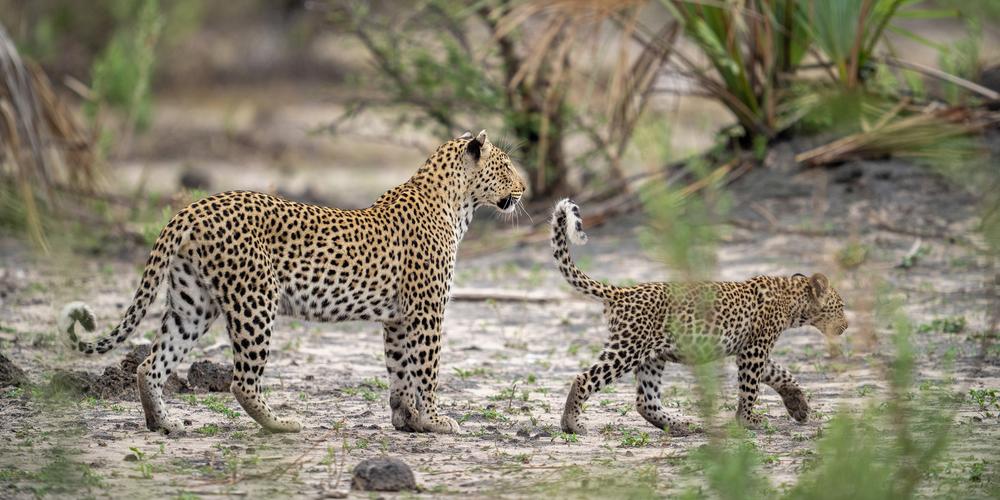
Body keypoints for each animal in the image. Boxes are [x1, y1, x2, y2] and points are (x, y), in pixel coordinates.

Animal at [60, 131, 532, 436]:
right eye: (506, 165)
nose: (525, 188)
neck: (457, 204)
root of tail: (193, 208)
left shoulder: (399, 318)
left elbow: (400, 372)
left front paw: (409, 421)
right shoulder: (427, 311)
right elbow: (428, 371)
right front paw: (436, 420)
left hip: (191, 305)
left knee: (150, 365)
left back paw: (164, 424)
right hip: (254, 301)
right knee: (241, 381)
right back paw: (283, 423)